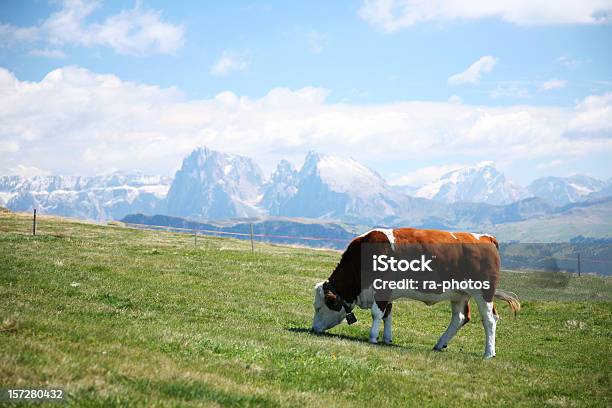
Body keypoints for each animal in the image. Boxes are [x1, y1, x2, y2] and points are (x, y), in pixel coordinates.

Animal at [310, 228, 520, 358]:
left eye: (319, 308)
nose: (313, 328)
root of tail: (485, 237)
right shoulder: (387, 292)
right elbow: (387, 314)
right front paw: (387, 338)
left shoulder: (382, 287)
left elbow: (377, 313)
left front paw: (373, 337)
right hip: (459, 294)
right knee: (460, 317)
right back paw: (440, 344)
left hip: (484, 293)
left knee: (489, 319)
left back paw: (488, 353)